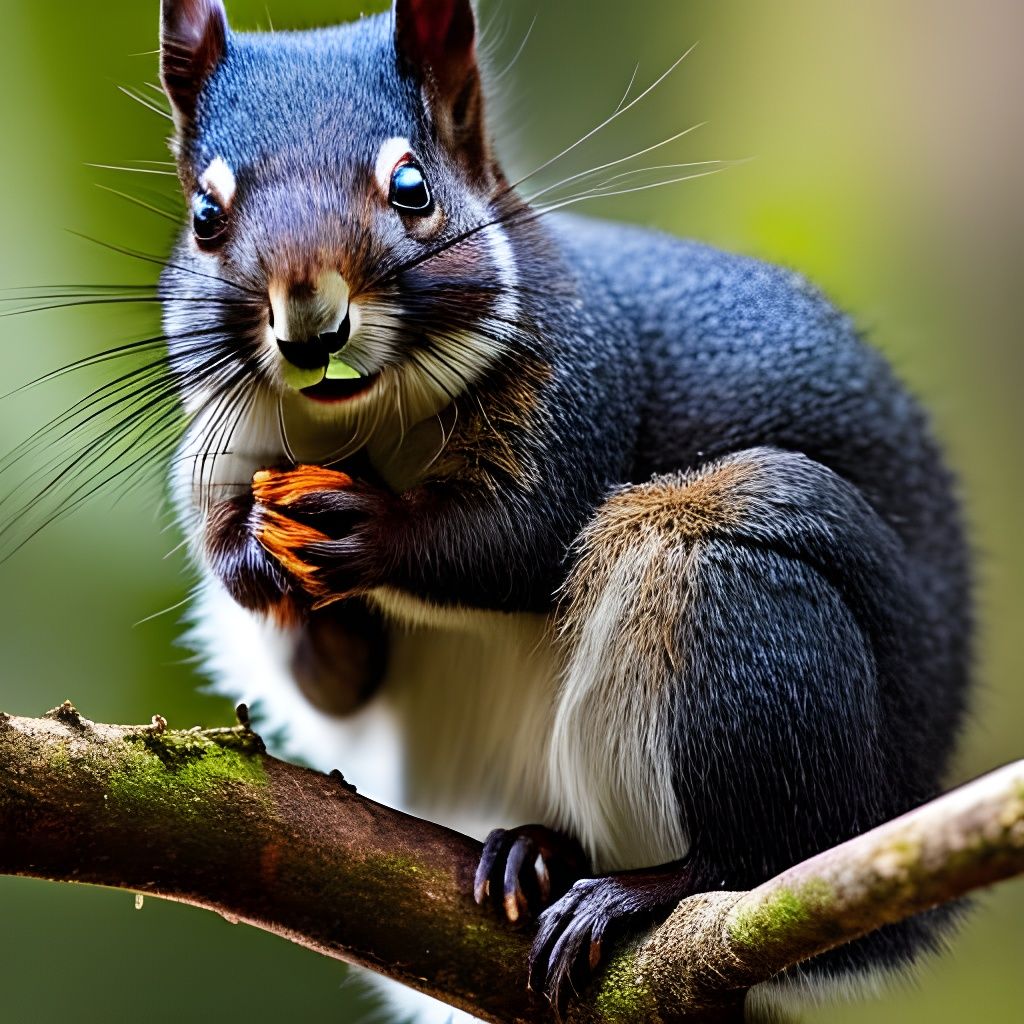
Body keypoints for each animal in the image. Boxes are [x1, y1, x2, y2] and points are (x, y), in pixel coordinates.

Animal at [157, 0, 972, 1020]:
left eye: (413, 189)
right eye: (204, 217)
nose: (310, 325)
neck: (366, 428)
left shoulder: (581, 381)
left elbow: (518, 538)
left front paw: (367, 531)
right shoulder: (226, 440)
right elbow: (326, 670)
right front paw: (252, 557)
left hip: (733, 592)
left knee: (752, 865)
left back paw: (634, 891)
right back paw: (536, 852)